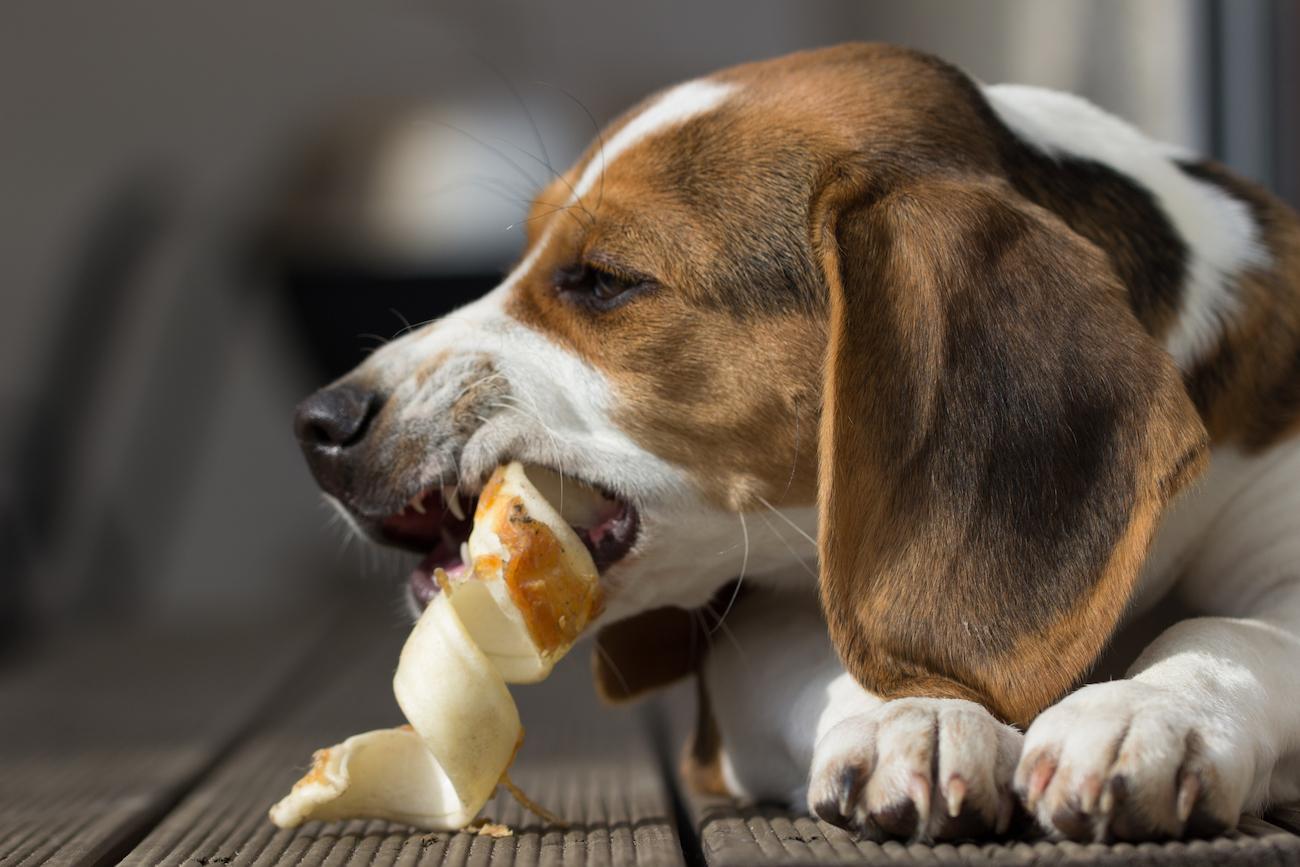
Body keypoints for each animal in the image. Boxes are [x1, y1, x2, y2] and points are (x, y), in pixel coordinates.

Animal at [295, 44, 1300, 842]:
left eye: (603, 280)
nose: (318, 424)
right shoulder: (744, 652)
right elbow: (840, 654)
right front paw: (913, 719)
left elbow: (1230, 626)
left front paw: (1144, 712)